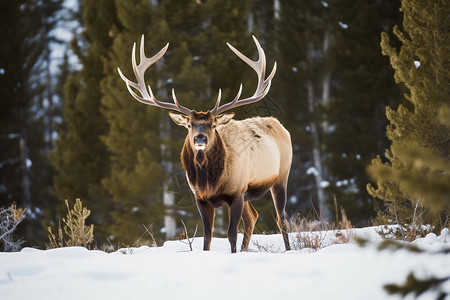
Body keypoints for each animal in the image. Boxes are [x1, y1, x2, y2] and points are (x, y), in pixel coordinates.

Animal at [118, 34, 292, 253]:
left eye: (213, 124)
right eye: (189, 125)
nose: (200, 138)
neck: (210, 182)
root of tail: (280, 126)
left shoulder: (236, 192)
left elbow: (231, 234)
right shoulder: (201, 198)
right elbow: (207, 237)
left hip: (281, 176)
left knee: (281, 219)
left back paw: (288, 249)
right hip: (250, 193)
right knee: (253, 217)